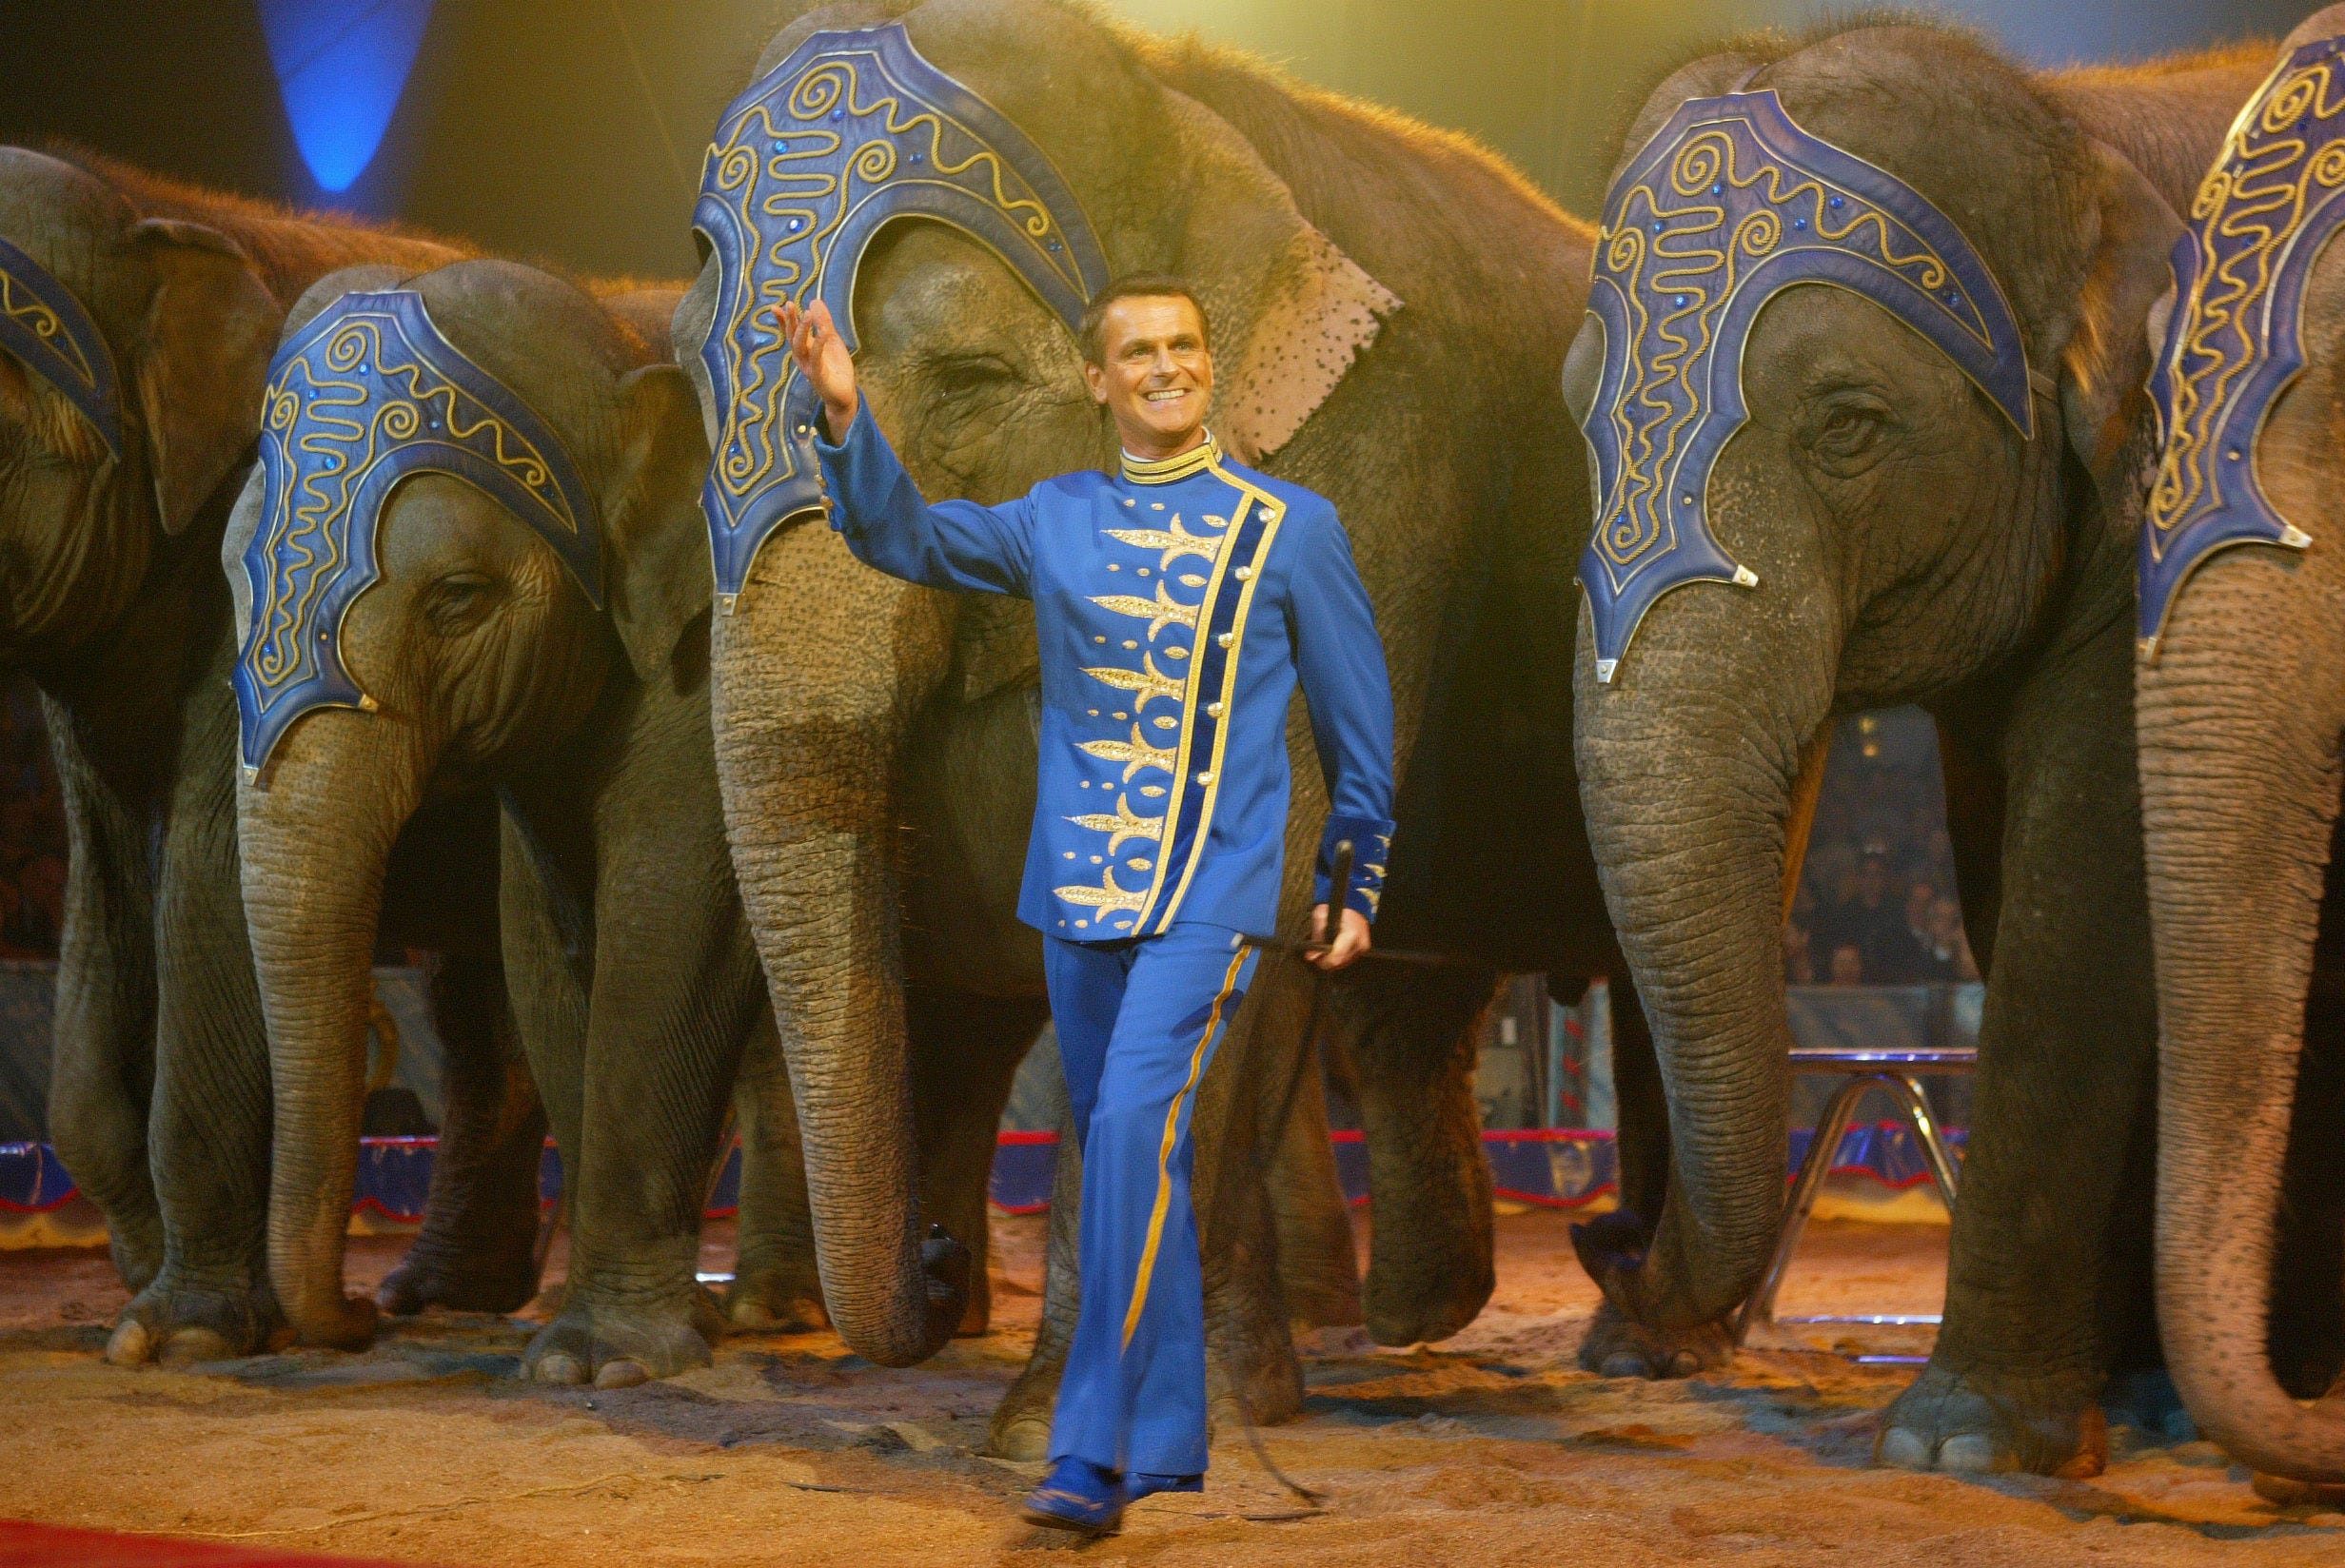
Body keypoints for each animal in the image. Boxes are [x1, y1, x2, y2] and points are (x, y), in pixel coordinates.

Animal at [0, 152, 548, 1359]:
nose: (349, 1312)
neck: (152, 214)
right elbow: (107, 893)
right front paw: (146, 1283)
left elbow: (207, 879)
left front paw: (188, 1334)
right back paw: (440, 1296)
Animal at [670, 0, 1679, 1453]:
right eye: (687, 385)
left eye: (972, 375)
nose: (935, 1267)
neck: (1170, 89)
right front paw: (1209, 1394)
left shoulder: (1364, 465)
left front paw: (1064, 1427)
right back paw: (1423, 1319)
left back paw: (1643, 1336)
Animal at [1566, 21, 2279, 1472]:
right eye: (1570, 419)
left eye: (1849, 424)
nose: (1597, 1239)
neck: (2079, 131)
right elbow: (2000, 870)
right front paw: (2095, 1400)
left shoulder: (2165, 508)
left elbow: (2085, 881)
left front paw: (1960, 1443)